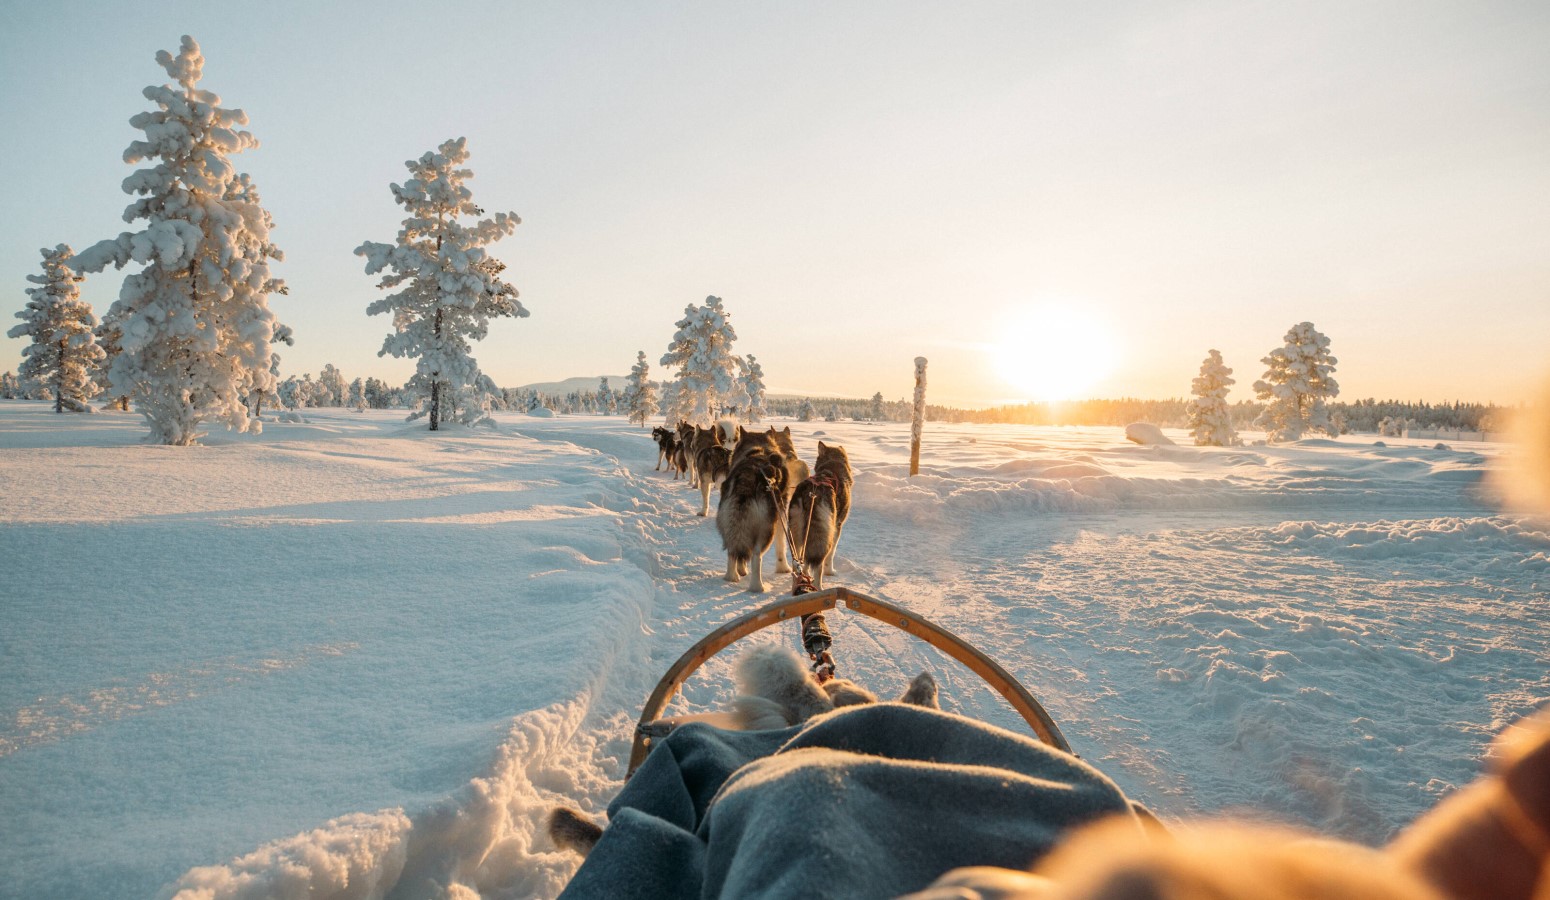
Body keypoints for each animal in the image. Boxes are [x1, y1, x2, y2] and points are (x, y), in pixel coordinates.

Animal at [787, 439, 861, 582]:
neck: (832, 469)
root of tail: (810, 494)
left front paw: (807, 574)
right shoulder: (837, 527)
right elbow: (831, 555)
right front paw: (830, 572)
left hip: (796, 536)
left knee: (797, 563)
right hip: (823, 537)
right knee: (819, 565)